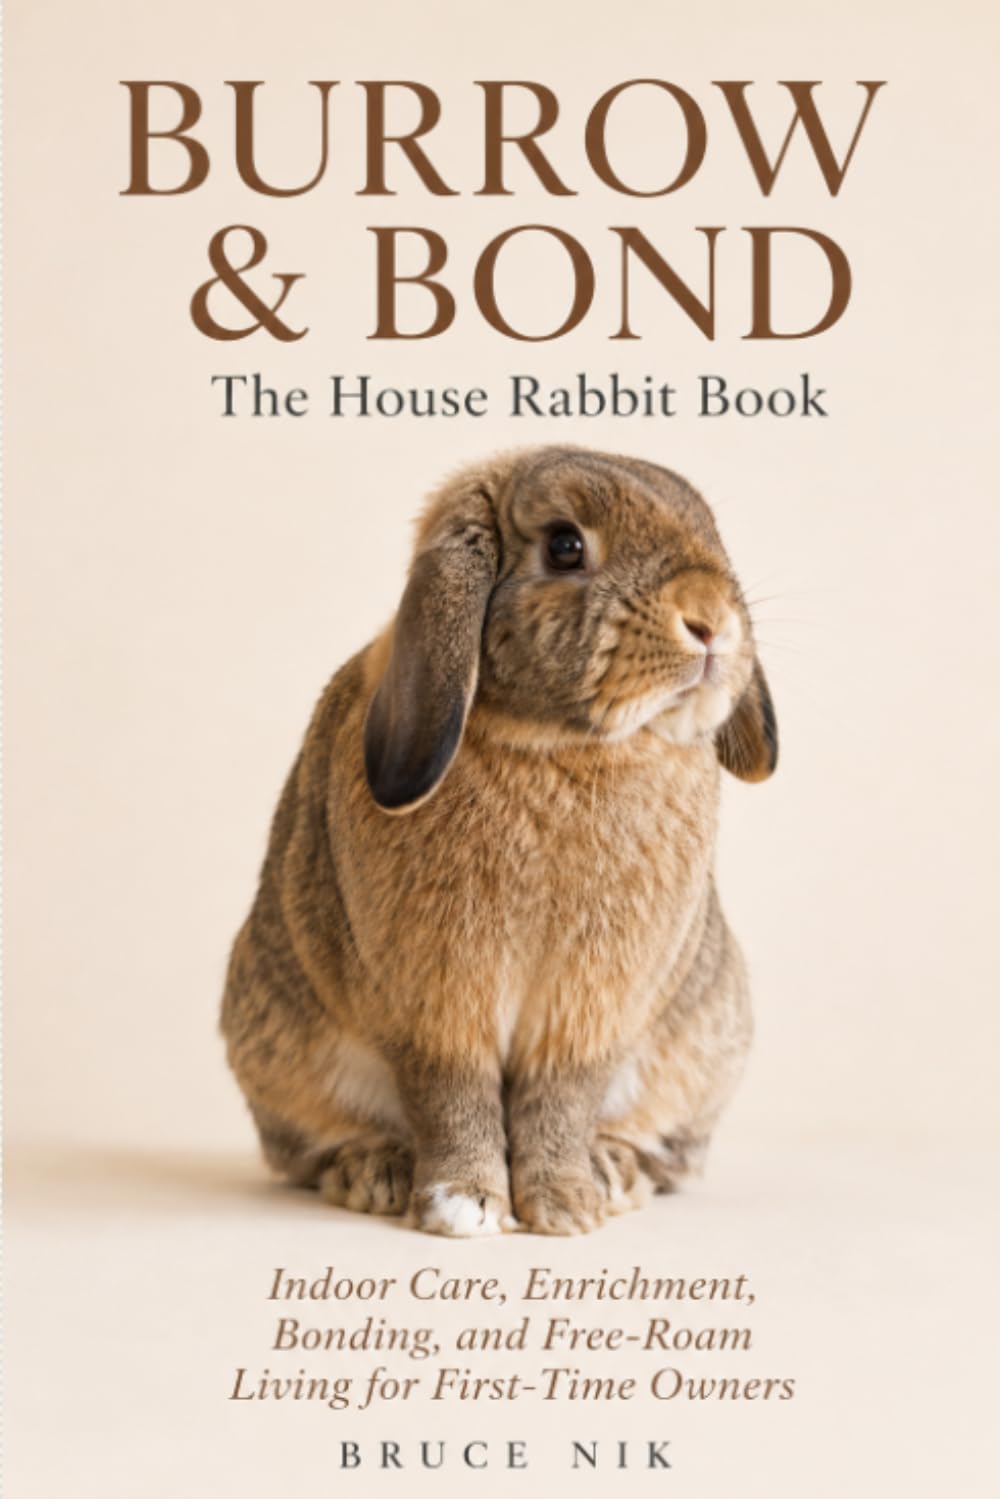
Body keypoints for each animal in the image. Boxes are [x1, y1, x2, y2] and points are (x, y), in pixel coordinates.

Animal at [221, 445, 777, 1236]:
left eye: (710, 531)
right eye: (566, 545)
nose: (710, 621)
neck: (563, 747)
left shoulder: (584, 1015)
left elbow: (560, 1100)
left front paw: (567, 1206)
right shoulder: (439, 1010)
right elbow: (454, 1097)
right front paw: (463, 1205)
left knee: (668, 1153)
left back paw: (613, 1168)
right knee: (308, 1150)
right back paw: (376, 1171)